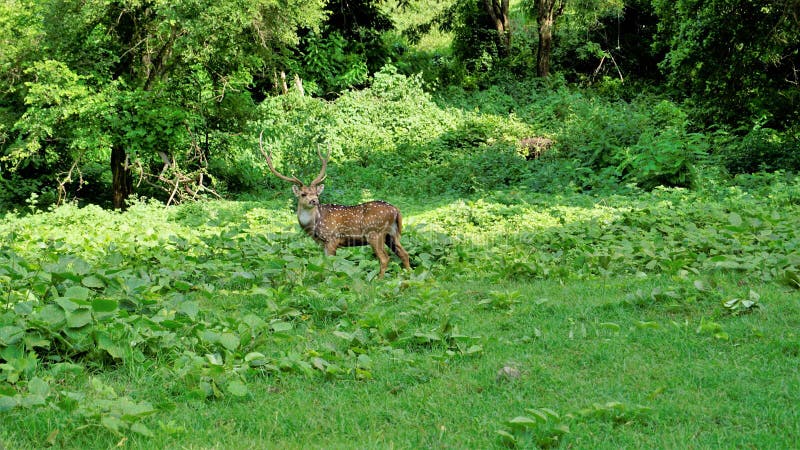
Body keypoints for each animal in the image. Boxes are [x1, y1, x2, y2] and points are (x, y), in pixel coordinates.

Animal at [260, 131, 412, 278]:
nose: (314, 201)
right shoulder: (322, 244)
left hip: (375, 233)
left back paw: (378, 280)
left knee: (385, 258)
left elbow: (331, 265)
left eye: (316, 193)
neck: (314, 226)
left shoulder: (332, 239)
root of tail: (396, 210)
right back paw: (409, 275)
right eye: (303, 194)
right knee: (404, 253)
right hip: (392, 235)